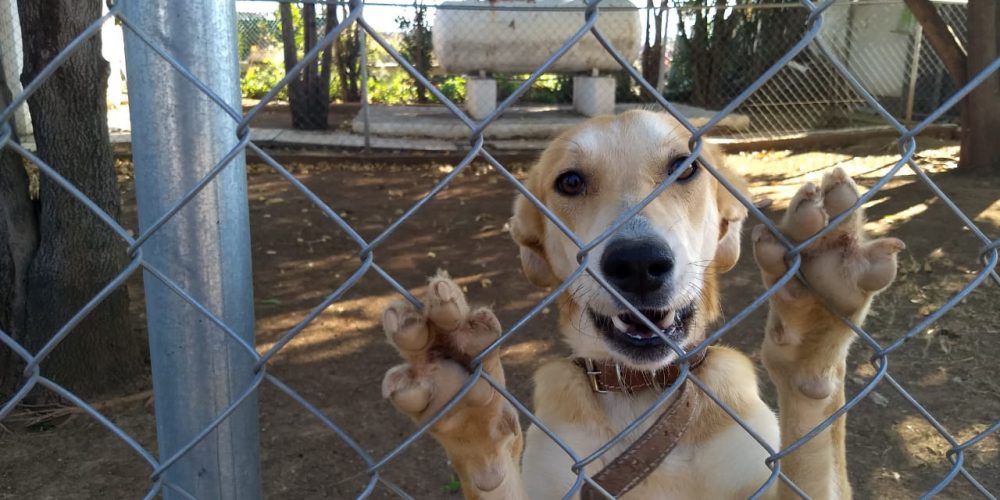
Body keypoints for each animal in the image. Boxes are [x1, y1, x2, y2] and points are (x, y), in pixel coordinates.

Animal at [376, 110, 908, 500]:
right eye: (570, 182)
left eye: (685, 168)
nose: (636, 264)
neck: (641, 393)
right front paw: (471, 411)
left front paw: (814, 322)